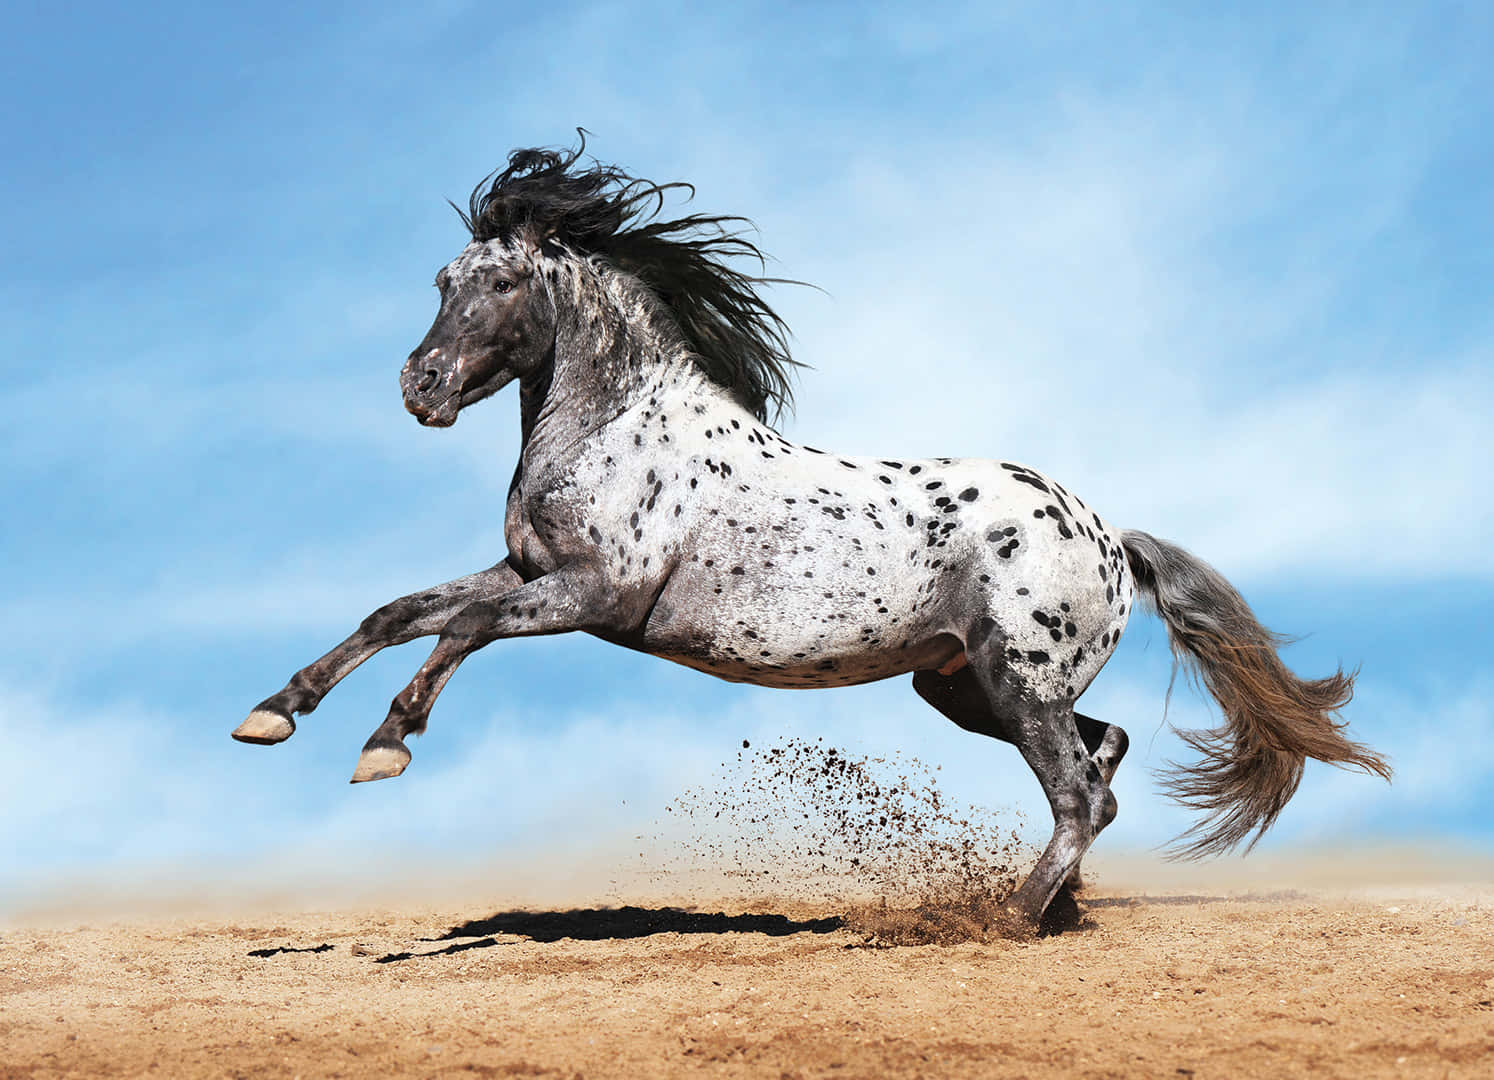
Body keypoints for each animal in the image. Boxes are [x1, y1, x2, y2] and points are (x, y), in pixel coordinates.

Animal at [233, 140, 1391, 925]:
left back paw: (1007, 921)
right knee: (1100, 763)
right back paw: (1057, 906)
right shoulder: (526, 570)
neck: (618, 426)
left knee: (1077, 793)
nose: (420, 388)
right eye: (442, 282)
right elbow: (400, 611)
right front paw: (273, 716)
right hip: (962, 685)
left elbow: (461, 631)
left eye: (506, 281)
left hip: (1014, 683)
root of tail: (1109, 536)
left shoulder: (591, 598)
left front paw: (385, 748)